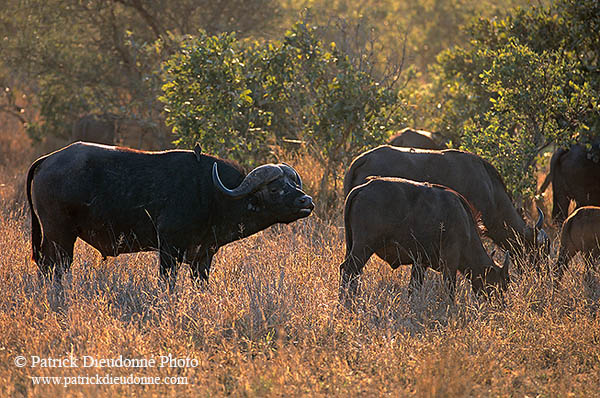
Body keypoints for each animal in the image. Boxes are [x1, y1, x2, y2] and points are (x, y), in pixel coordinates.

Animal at [25, 141, 316, 288]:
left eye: (294, 184)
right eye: (276, 188)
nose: (307, 201)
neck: (211, 193)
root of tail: (47, 159)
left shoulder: (203, 256)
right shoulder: (168, 250)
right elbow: (168, 283)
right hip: (59, 235)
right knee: (54, 268)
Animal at [340, 177, 508, 302]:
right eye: (500, 284)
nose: (501, 305)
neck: (465, 222)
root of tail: (362, 188)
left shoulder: (420, 263)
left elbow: (413, 289)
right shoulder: (450, 260)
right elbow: (450, 287)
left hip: (351, 246)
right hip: (364, 247)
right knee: (349, 270)